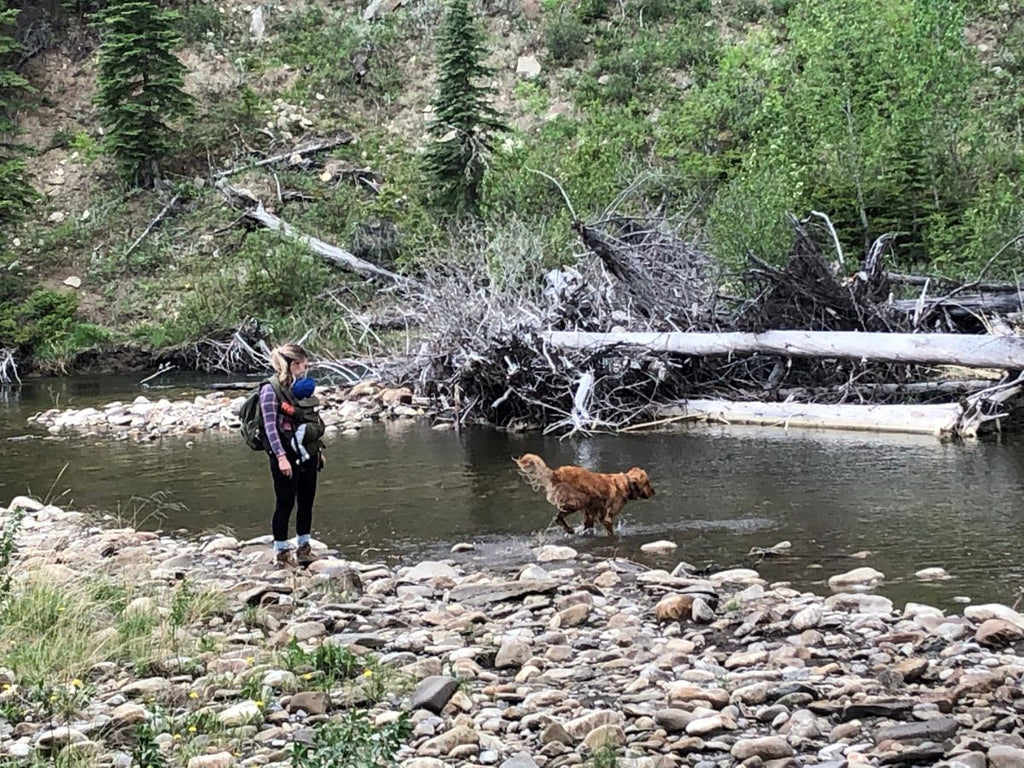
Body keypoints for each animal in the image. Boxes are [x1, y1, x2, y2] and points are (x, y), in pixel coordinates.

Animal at [512, 454, 655, 536]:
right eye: (647, 482)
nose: (654, 492)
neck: (626, 484)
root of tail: (555, 474)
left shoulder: (590, 514)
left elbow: (588, 526)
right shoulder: (606, 517)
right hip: (577, 500)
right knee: (559, 517)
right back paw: (570, 530)